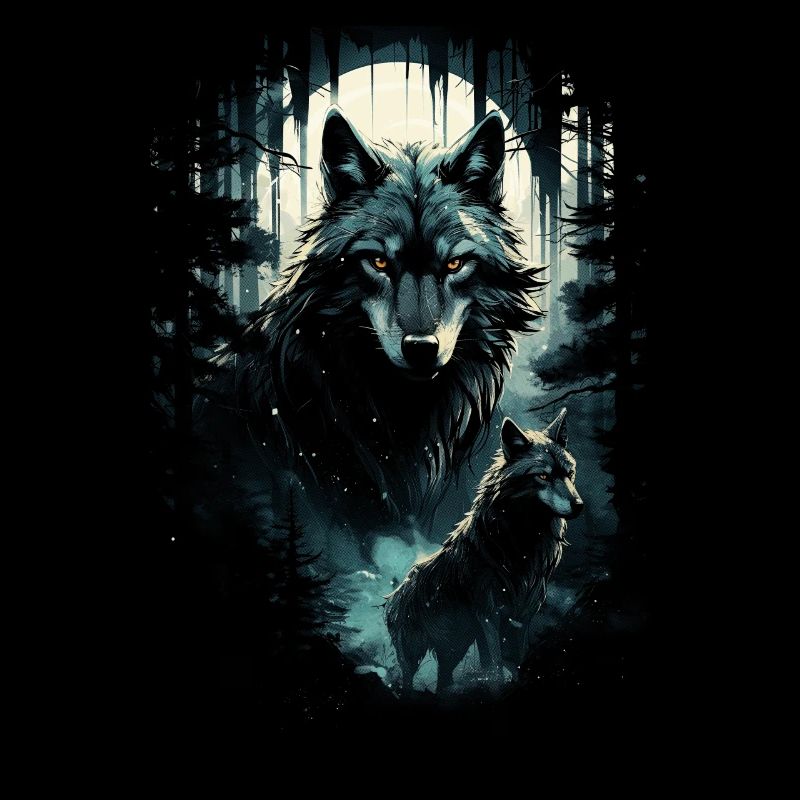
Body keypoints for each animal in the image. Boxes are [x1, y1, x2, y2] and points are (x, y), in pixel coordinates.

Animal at [385, 408, 583, 692]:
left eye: (570, 473)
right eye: (543, 476)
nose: (578, 505)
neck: (521, 543)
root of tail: (395, 595)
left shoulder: (523, 616)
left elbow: (516, 660)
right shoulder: (488, 615)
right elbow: (495, 667)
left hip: (455, 647)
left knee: (443, 680)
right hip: (416, 653)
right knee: (407, 681)